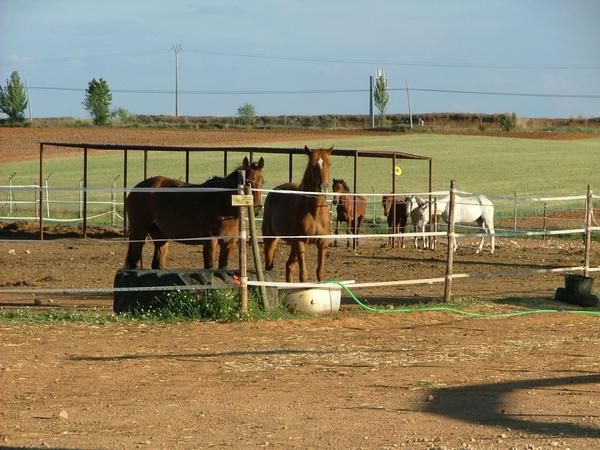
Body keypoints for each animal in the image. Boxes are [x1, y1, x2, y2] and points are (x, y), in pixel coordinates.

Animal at [125, 157, 264, 270]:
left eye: (263, 181)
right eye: (247, 182)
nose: (257, 209)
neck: (222, 204)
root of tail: (136, 189)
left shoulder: (228, 243)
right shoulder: (210, 242)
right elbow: (209, 268)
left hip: (160, 235)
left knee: (156, 264)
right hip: (139, 232)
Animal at [262, 147, 332, 282]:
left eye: (329, 164)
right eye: (312, 165)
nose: (323, 186)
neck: (315, 212)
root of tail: (274, 190)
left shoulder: (322, 243)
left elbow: (320, 272)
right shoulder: (300, 242)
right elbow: (303, 275)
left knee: (289, 265)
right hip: (271, 240)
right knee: (268, 266)